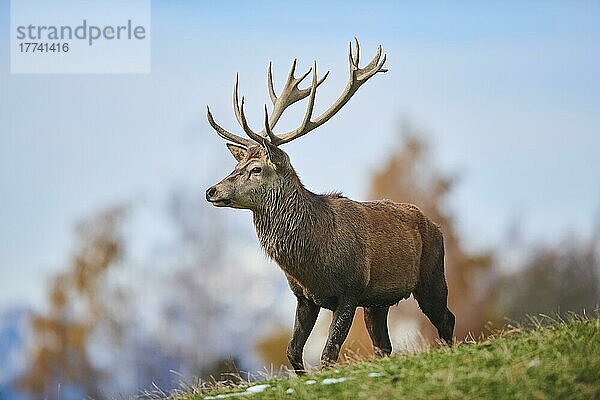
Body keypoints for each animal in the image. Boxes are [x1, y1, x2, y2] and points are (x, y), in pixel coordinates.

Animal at [206, 39, 454, 374]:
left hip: (431, 273)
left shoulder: (350, 289)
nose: (211, 190)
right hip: (378, 301)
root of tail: (434, 225)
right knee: (383, 345)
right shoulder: (304, 297)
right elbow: (292, 351)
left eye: (256, 169)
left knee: (446, 318)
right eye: (237, 165)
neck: (313, 259)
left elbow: (328, 354)